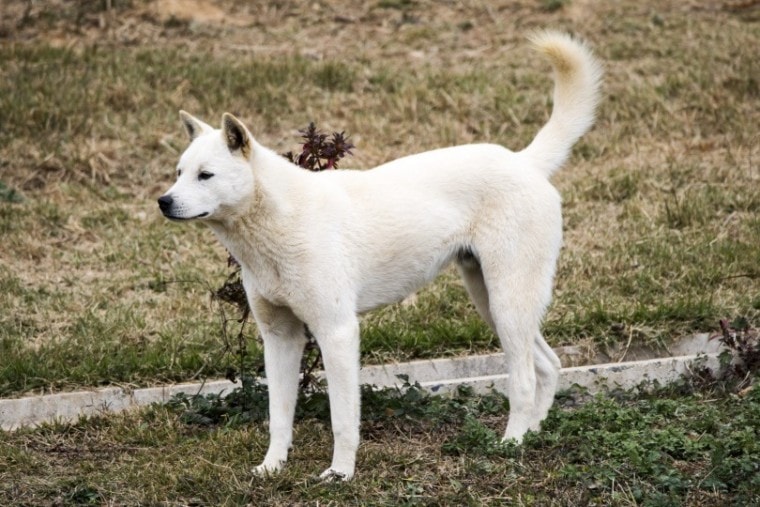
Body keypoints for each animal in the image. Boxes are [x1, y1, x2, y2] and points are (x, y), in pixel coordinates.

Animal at [157, 29, 604, 482]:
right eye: (178, 173)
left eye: (205, 175)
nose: (163, 202)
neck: (280, 220)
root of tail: (524, 162)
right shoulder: (280, 337)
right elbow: (279, 416)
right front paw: (272, 467)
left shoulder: (337, 333)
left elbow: (342, 419)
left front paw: (340, 474)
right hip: (493, 302)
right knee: (548, 364)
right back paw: (531, 436)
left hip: (507, 303)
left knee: (525, 379)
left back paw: (511, 444)